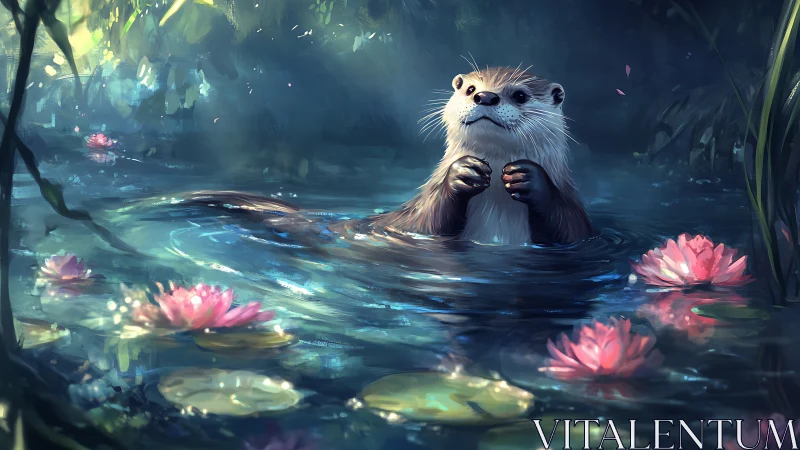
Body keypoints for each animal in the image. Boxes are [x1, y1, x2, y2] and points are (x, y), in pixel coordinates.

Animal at [169, 67, 594, 246]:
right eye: (471, 87)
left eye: (519, 95)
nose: (485, 97)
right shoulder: (416, 219)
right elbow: (426, 223)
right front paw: (462, 174)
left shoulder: (578, 224)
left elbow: (569, 230)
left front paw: (529, 179)